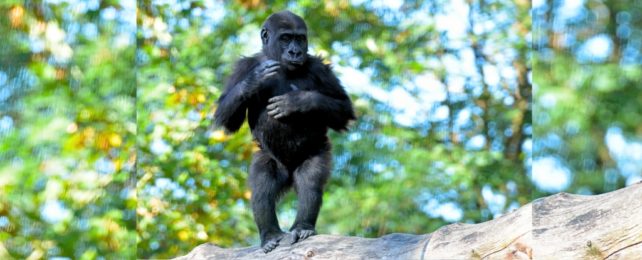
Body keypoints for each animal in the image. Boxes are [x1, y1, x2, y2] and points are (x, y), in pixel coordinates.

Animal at [214, 11, 356, 253]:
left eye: (299, 39)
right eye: (285, 38)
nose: (295, 52)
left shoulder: (320, 68)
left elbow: (343, 107)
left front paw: (299, 101)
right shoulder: (242, 67)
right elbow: (226, 116)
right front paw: (253, 81)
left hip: (315, 151)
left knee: (310, 179)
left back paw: (303, 227)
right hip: (269, 158)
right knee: (263, 185)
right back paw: (270, 234)